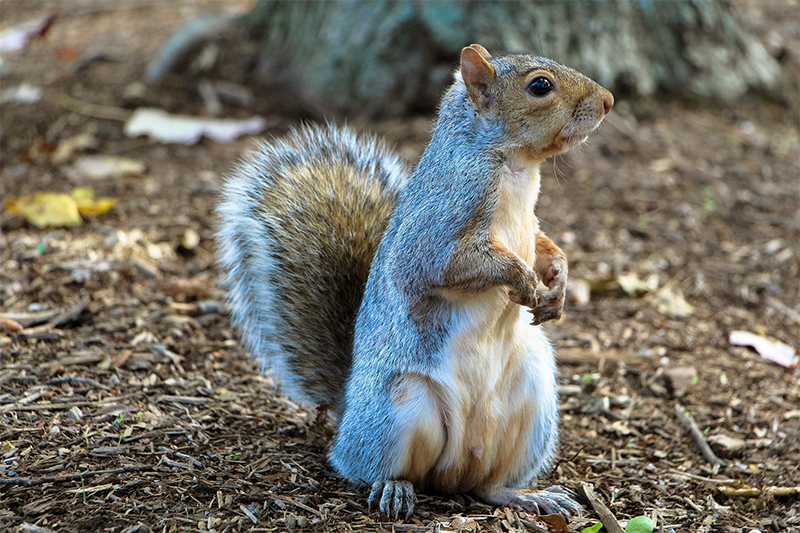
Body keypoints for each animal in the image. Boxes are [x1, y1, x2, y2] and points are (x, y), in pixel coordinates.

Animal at [217, 43, 612, 516]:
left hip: (532, 399)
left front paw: (559, 283)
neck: (517, 167)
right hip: (400, 408)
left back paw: (526, 494)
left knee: (489, 487)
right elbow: (450, 265)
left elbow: (543, 245)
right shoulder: (439, 225)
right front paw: (526, 281)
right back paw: (394, 488)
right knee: (374, 467)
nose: (608, 101)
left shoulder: (529, 225)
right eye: (539, 86)